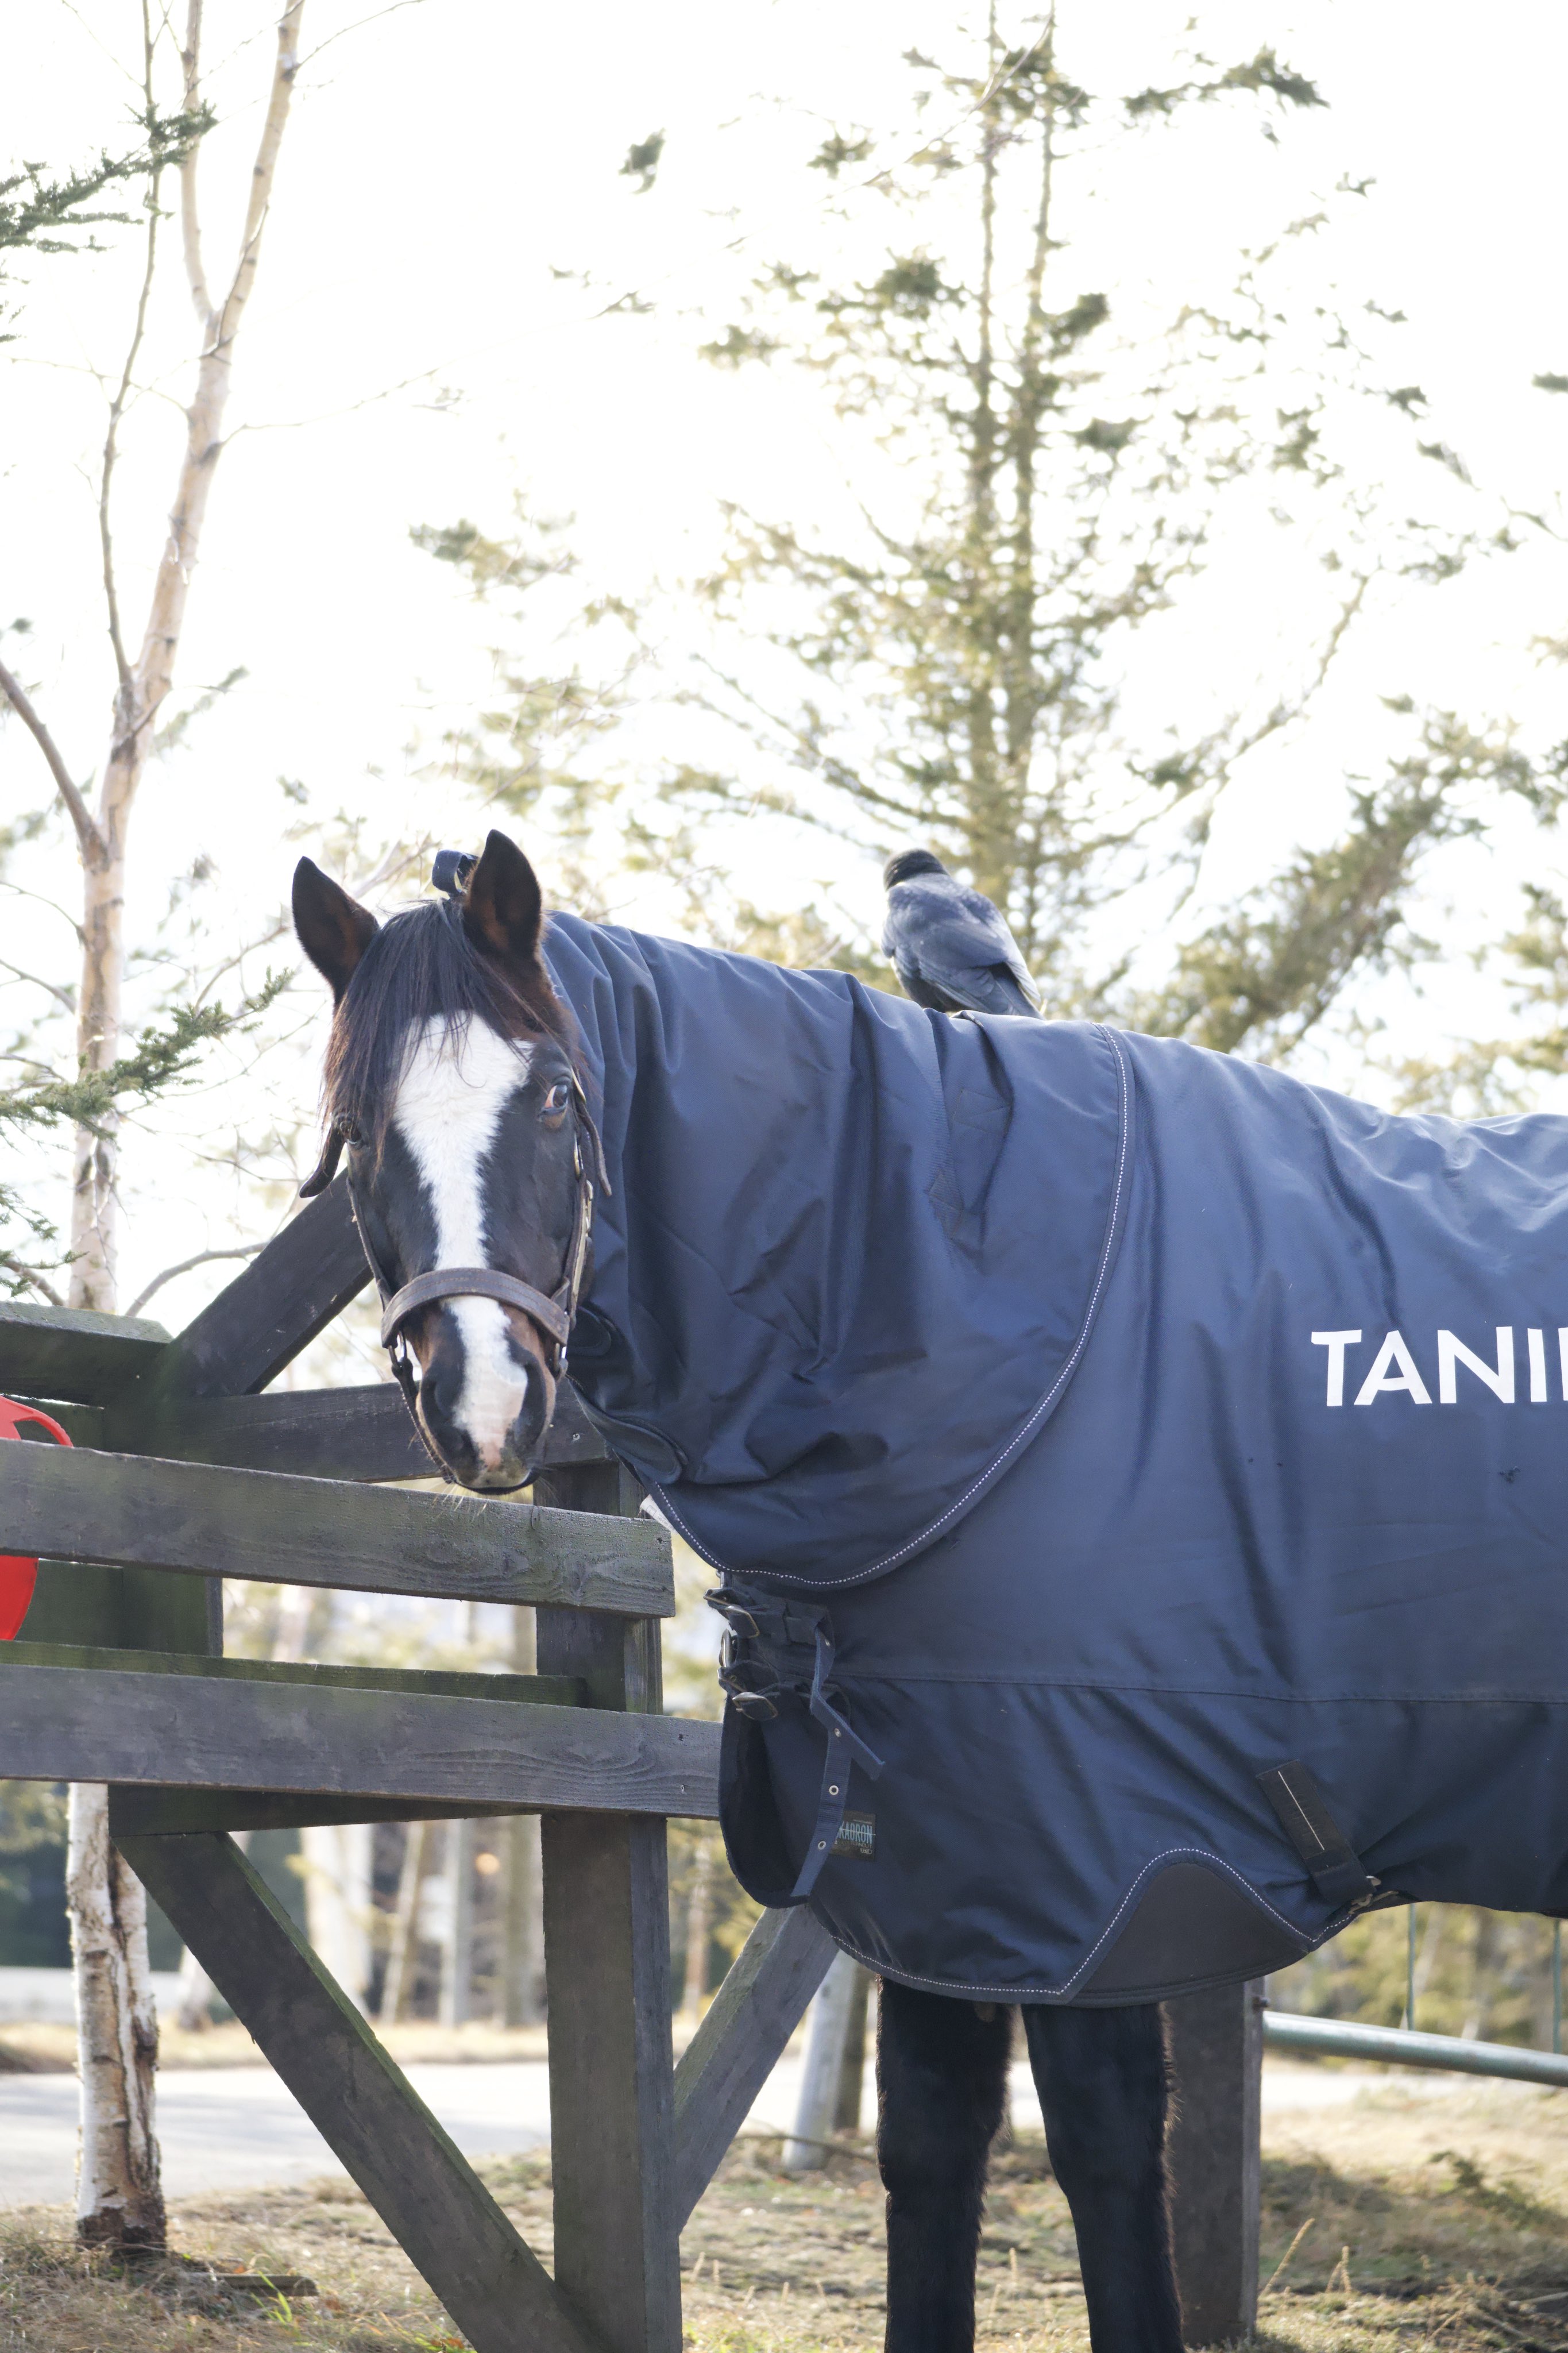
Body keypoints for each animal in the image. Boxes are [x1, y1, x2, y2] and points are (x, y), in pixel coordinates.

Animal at [292, 830, 1184, 2353]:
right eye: (356, 1129)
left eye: (560, 1096)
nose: (483, 1406)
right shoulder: (941, 1859)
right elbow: (931, 2134)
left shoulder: (1109, 1861)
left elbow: (1109, 2139)